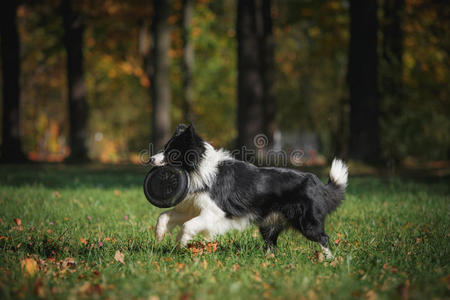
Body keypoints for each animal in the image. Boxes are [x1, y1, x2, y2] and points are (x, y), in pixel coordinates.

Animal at [151, 124, 348, 258]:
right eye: (165, 148)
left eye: (172, 153)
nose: (150, 159)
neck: (198, 168)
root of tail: (318, 184)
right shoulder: (193, 207)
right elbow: (164, 216)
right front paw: (159, 236)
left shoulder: (214, 212)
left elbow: (187, 225)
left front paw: (180, 242)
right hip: (269, 224)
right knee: (271, 243)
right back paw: (268, 260)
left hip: (307, 222)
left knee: (323, 238)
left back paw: (329, 260)